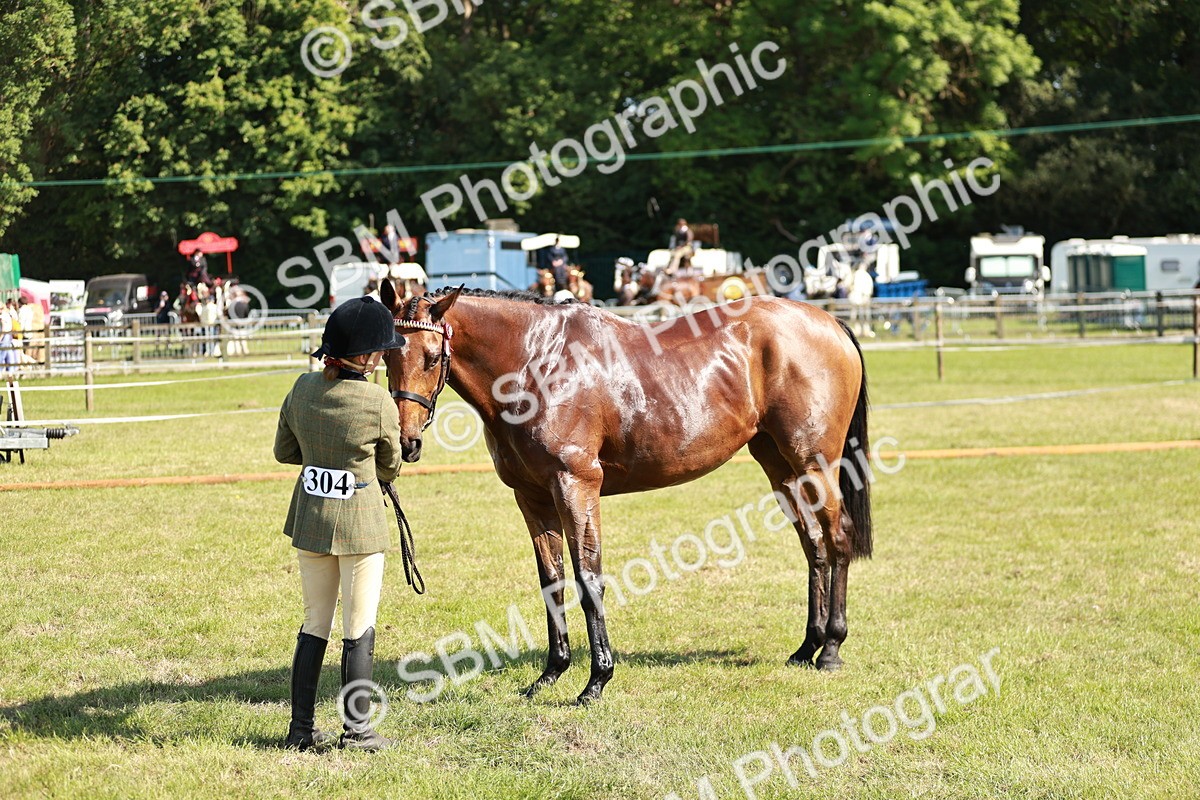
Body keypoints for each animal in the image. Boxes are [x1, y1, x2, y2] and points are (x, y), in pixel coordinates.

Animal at [378, 280, 872, 705]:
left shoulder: (576, 485)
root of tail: (830, 323)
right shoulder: (532, 496)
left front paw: (596, 680)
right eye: (387, 357)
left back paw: (831, 649)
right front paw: (550, 674)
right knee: (814, 546)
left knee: (838, 537)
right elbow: (551, 580)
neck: (536, 361)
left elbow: (588, 578)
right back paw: (806, 647)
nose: (407, 442)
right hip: (780, 467)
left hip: (815, 463)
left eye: (431, 357)